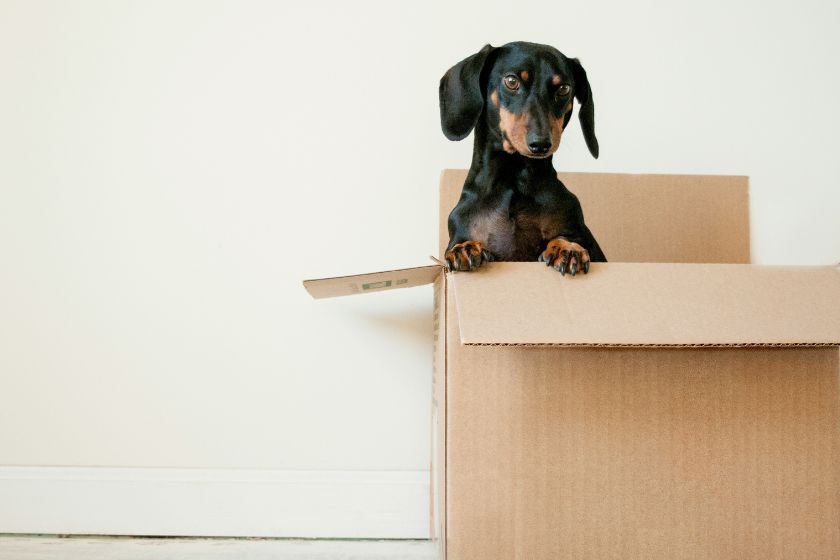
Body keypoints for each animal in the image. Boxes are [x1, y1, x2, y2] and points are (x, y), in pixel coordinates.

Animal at [440, 40, 604, 274]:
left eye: (564, 88)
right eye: (511, 81)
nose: (541, 144)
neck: (514, 178)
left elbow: (567, 237)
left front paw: (567, 248)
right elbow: (461, 243)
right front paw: (465, 248)